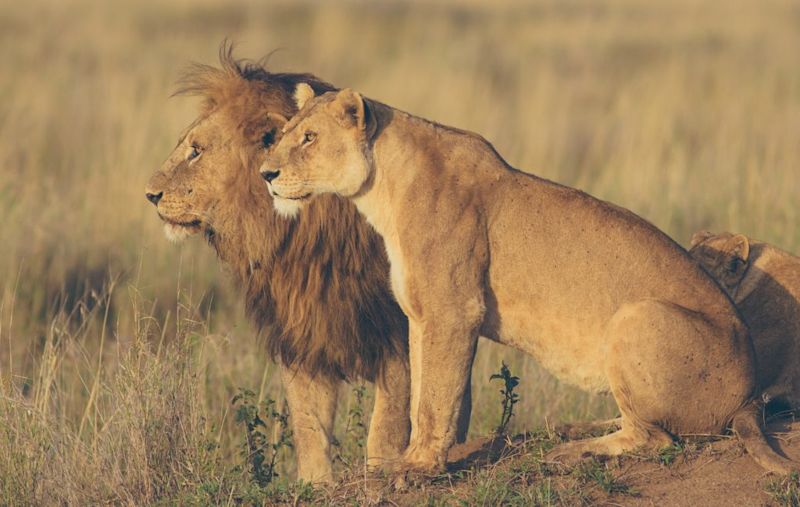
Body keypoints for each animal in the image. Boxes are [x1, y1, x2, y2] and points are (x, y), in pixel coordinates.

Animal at [144, 47, 472, 484]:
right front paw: (315, 484)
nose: (150, 194)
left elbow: (389, 422)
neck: (301, 240)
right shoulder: (301, 332)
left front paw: (382, 472)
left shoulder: (395, 329)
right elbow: (308, 422)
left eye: (196, 150)